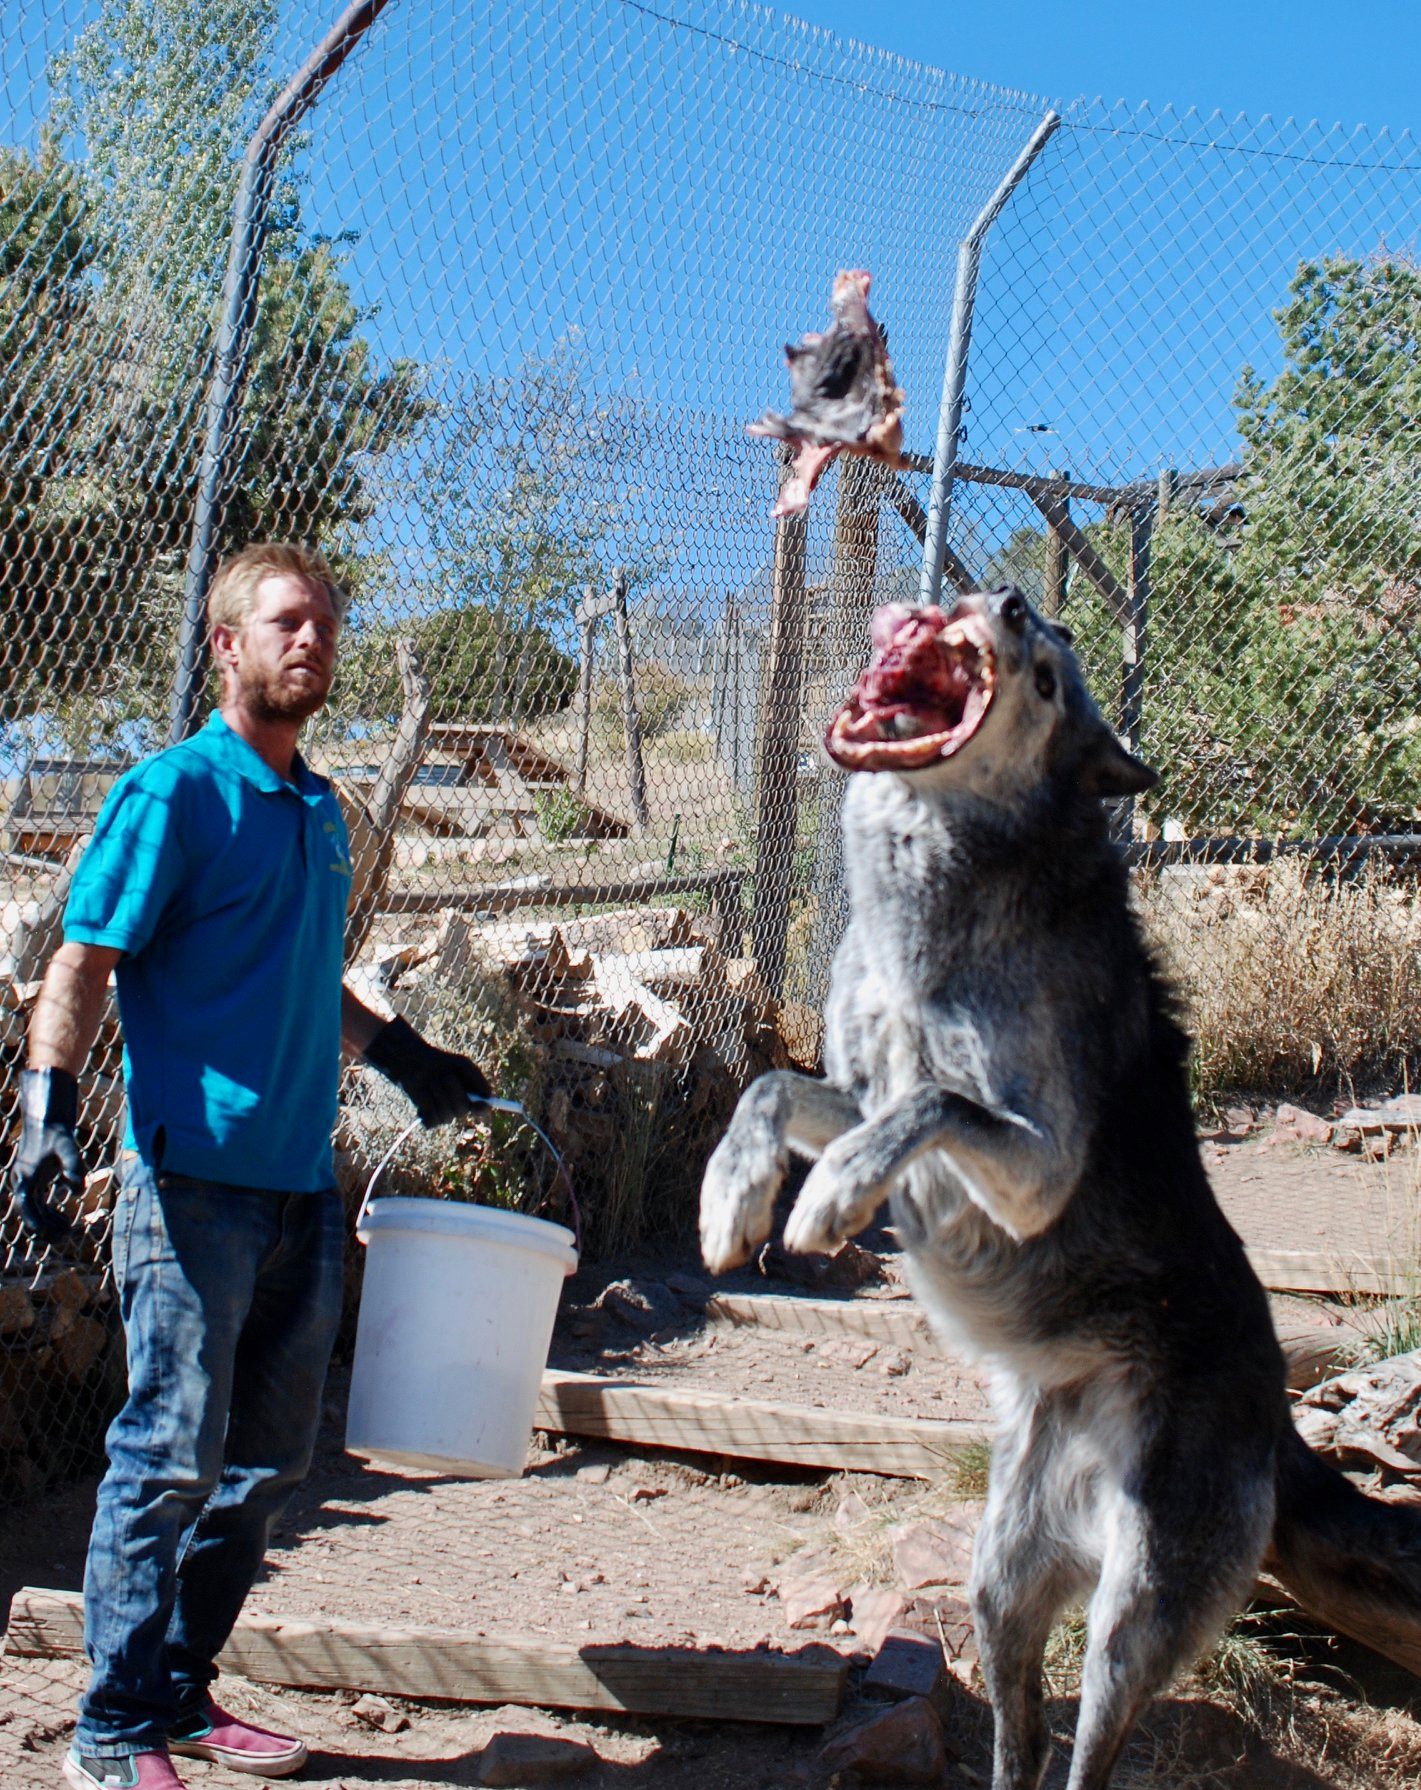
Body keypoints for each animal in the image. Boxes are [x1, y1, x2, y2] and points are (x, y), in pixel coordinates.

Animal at [697, 583, 1417, 1775]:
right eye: (1034, 637)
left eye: (1042, 672)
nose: (1008, 596)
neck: (929, 915)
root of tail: (1278, 1415)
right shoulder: (851, 1081)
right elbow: (769, 1083)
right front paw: (733, 1195)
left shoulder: (1033, 1163)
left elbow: (930, 1104)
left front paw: (830, 1194)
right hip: (998, 1589)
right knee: (1018, 1746)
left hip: (1132, 1612)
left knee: (1090, 1753)